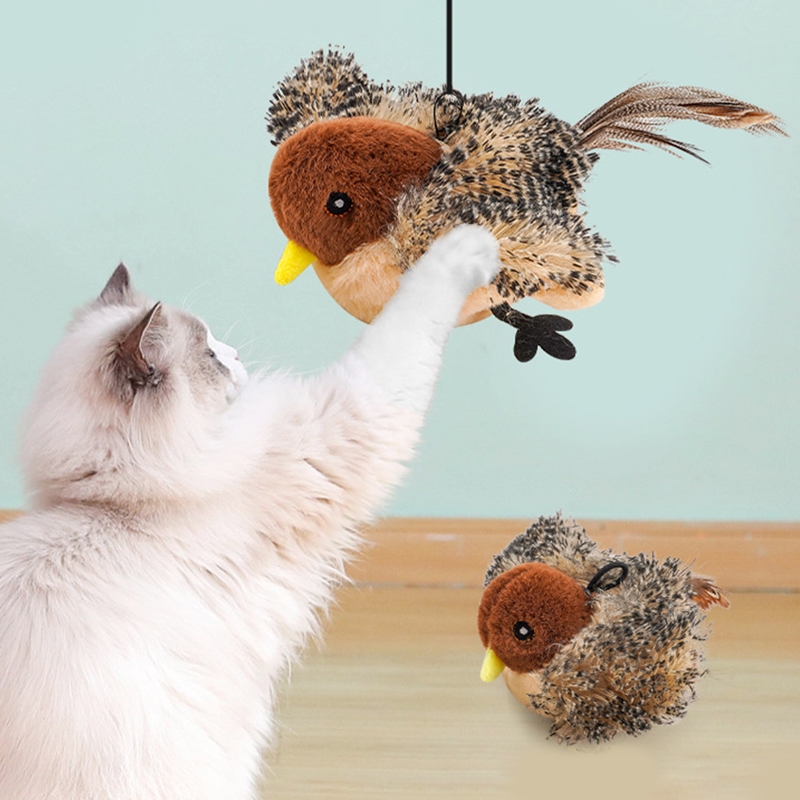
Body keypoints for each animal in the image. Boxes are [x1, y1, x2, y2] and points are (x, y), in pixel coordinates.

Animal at [0, 225, 499, 800]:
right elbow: (412, 311)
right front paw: (469, 243)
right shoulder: (345, 421)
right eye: (210, 352)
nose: (237, 354)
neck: (120, 503)